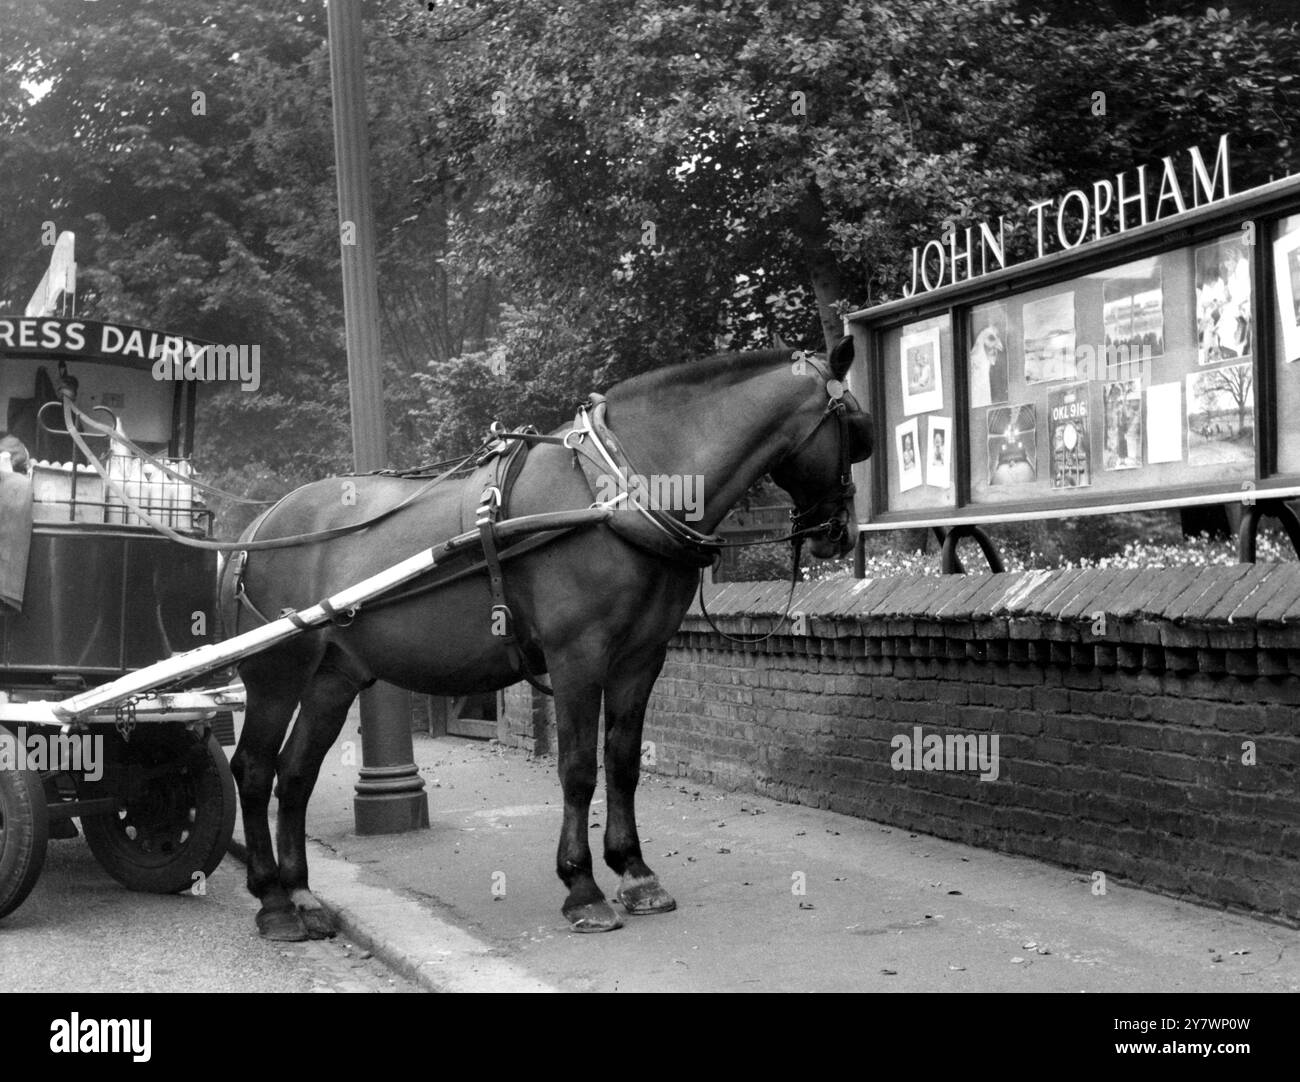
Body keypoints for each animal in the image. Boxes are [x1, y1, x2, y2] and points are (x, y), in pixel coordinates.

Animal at [223, 338, 873, 936]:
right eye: (857, 432)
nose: (841, 533)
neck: (617, 492)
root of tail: (259, 527)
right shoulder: (576, 655)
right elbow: (578, 767)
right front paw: (582, 887)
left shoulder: (642, 657)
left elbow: (623, 760)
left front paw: (635, 872)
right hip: (278, 674)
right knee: (253, 770)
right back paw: (274, 901)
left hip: (332, 678)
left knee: (295, 774)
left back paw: (302, 895)